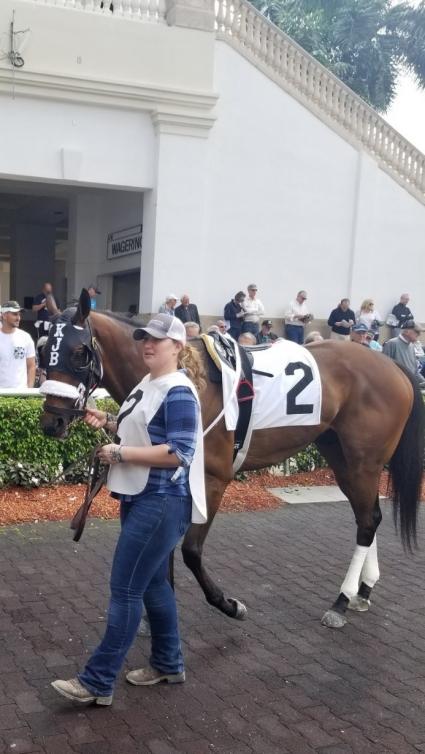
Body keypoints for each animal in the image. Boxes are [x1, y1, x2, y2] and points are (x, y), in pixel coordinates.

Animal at [39, 290, 424, 624]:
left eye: (79, 353)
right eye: (43, 353)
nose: (51, 422)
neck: (185, 378)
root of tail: (393, 365)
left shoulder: (212, 478)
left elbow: (191, 550)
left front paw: (227, 603)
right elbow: (164, 550)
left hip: (364, 461)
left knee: (368, 519)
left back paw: (342, 600)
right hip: (340, 454)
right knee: (367, 516)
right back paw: (363, 590)